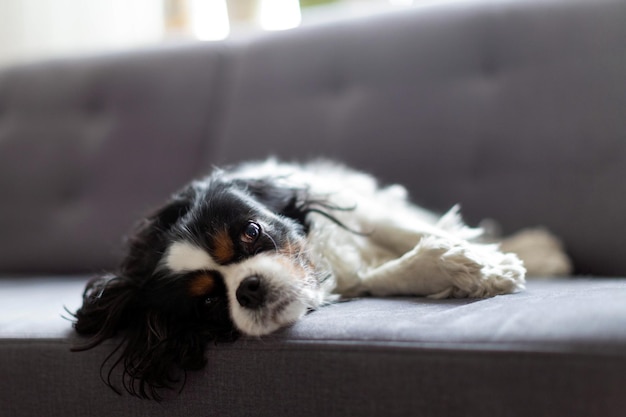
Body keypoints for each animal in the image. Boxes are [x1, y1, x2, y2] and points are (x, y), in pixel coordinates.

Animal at [70, 158, 568, 396]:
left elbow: (403, 229)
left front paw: (482, 262)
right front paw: (457, 265)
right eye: (208, 303)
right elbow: (384, 275)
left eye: (251, 232)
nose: (249, 287)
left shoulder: (352, 206)